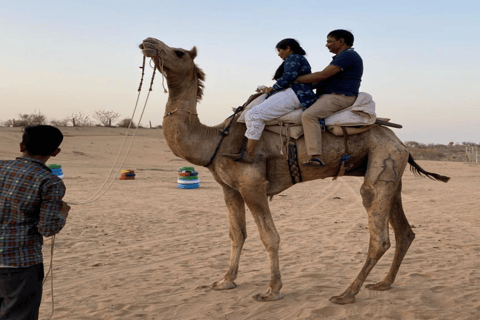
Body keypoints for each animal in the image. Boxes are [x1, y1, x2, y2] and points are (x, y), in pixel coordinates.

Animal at [138, 38, 450, 304]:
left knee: (379, 234)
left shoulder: (253, 185)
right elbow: (237, 234)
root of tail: (401, 143)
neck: (216, 140)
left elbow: (270, 237)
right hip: (392, 173)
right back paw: (383, 284)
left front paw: (272, 291)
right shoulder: (229, 189)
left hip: (382, 164)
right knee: (404, 232)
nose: (148, 43)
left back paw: (346, 294)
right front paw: (225, 281)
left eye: (179, 52)